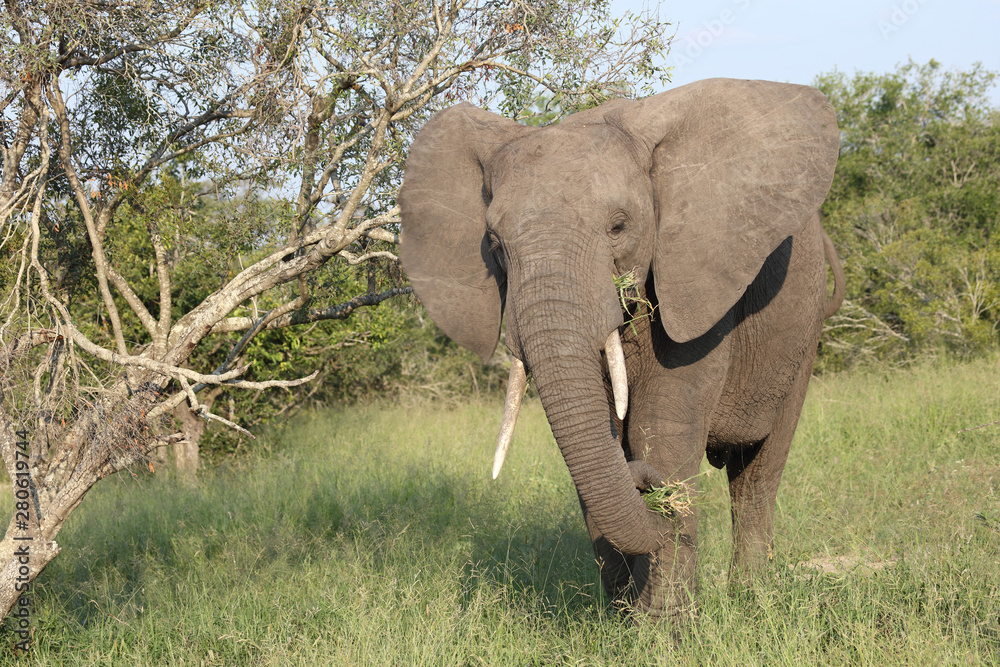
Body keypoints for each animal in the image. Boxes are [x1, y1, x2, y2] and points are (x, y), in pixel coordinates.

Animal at [398, 78, 844, 621]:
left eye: (618, 226)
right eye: (494, 242)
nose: (644, 483)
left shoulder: (697, 283)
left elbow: (660, 427)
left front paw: (664, 626)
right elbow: (602, 433)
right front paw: (619, 620)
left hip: (803, 329)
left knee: (758, 470)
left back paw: (752, 598)